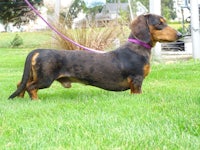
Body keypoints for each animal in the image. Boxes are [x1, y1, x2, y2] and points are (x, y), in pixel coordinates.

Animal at [8, 13, 182, 99]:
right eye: (159, 23)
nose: (180, 34)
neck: (136, 48)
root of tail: (38, 50)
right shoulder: (136, 79)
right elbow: (137, 93)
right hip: (45, 79)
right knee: (31, 87)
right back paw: (35, 100)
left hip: (35, 75)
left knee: (20, 84)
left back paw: (21, 98)